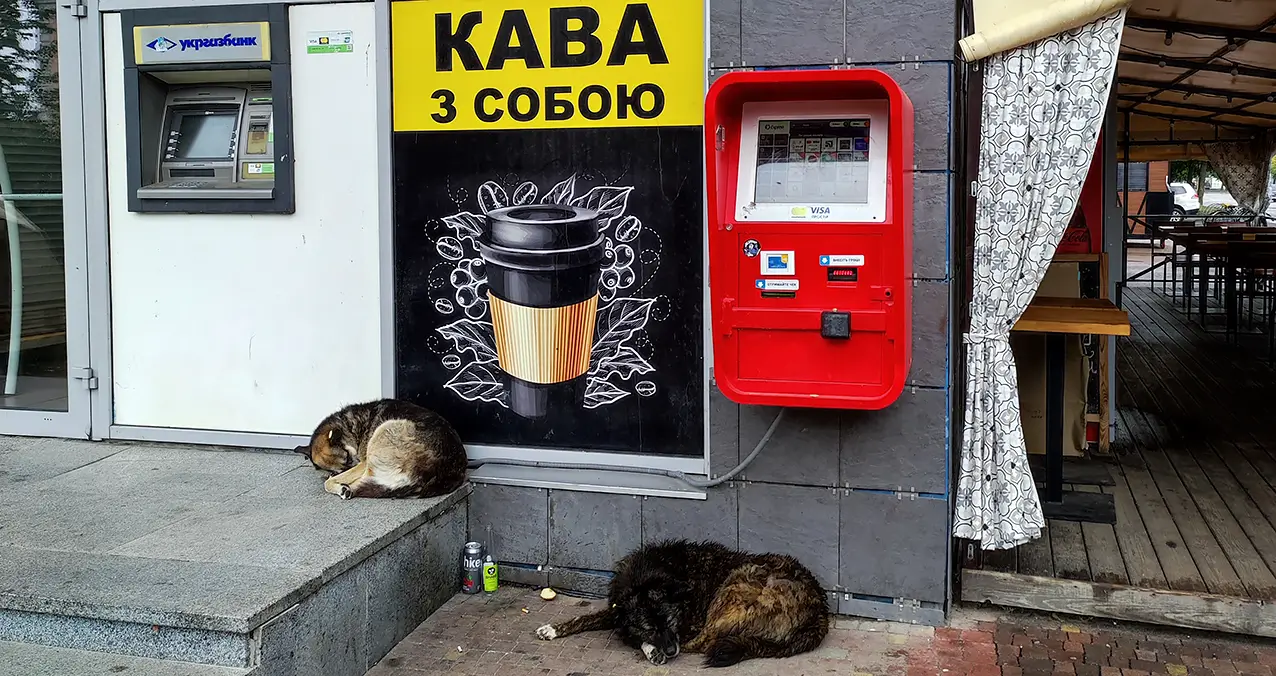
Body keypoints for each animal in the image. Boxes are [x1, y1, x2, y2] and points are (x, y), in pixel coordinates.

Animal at [293, 397, 469, 497]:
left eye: (348, 458)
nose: (349, 466)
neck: (350, 427)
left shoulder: (362, 462)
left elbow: (332, 480)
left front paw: (338, 483)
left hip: (385, 430)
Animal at [533, 535, 831, 663]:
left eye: (671, 621)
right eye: (651, 627)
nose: (669, 651)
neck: (648, 577)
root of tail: (820, 612)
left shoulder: (691, 624)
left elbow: (627, 635)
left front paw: (645, 646)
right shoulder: (619, 604)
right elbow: (588, 617)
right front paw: (553, 628)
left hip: (733, 587)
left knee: (704, 643)